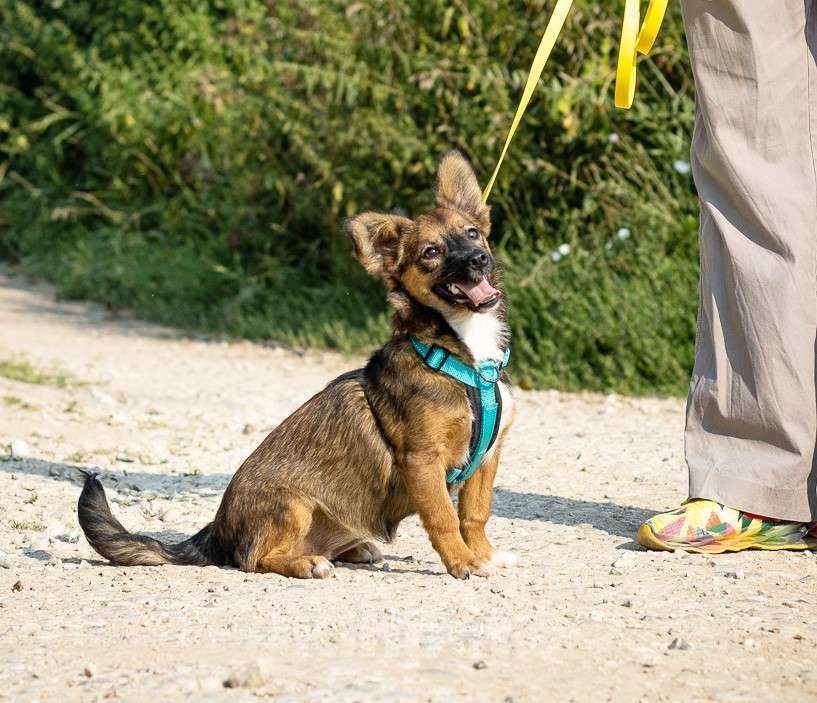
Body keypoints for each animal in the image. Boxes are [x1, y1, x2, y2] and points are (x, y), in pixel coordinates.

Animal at [81, 151, 516, 580]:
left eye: (472, 233)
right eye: (431, 252)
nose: (478, 259)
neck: (463, 352)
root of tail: (216, 530)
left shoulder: (487, 457)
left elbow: (474, 514)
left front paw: (483, 555)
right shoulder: (422, 460)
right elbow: (444, 518)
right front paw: (462, 562)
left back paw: (353, 550)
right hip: (292, 504)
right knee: (252, 559)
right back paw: (307, 563)